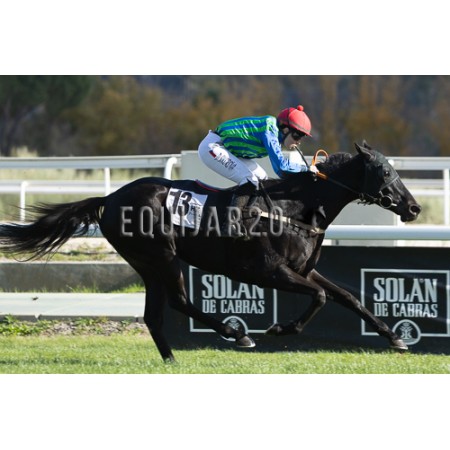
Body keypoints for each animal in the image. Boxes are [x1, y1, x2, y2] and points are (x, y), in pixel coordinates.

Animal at [0, 141, 421, 362]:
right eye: (385, 173)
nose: (414, 208)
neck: (294, 207)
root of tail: (110, 197)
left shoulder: (304, 269)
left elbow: (349, 297)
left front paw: (395, 338)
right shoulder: (267, 271)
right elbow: (319, 297)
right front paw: (280, 328)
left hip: (147, 264)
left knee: (154, 314)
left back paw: (171, 359)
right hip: (162, 257)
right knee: (179, 301)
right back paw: (237, 334)